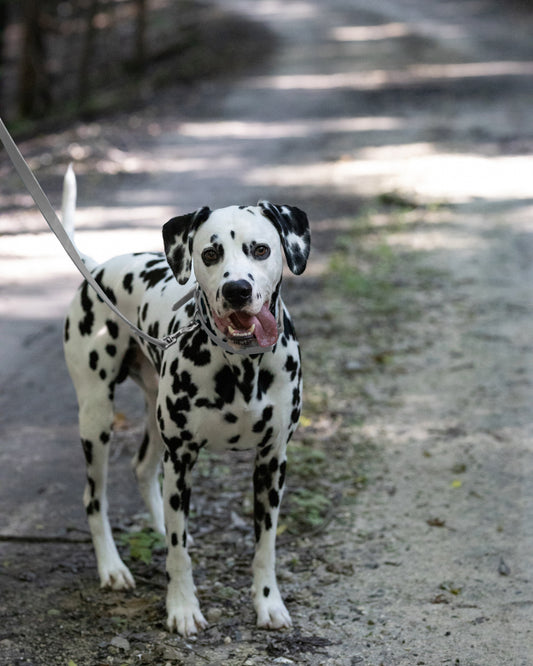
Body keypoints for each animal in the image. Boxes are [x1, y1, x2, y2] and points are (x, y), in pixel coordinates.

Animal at [62, 171, 310, 632]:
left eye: (261, 249)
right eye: (210, 253)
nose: (237, 290)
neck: (241, 366)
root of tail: (97, 267)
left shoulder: (272, 462)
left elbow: (265, 547)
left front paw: (268, 603)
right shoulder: (181, 459)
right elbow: (178, 554)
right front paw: (181, 607)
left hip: (152, 416)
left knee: (142, 470)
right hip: (97, 418)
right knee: (94, 498)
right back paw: (112, 567)